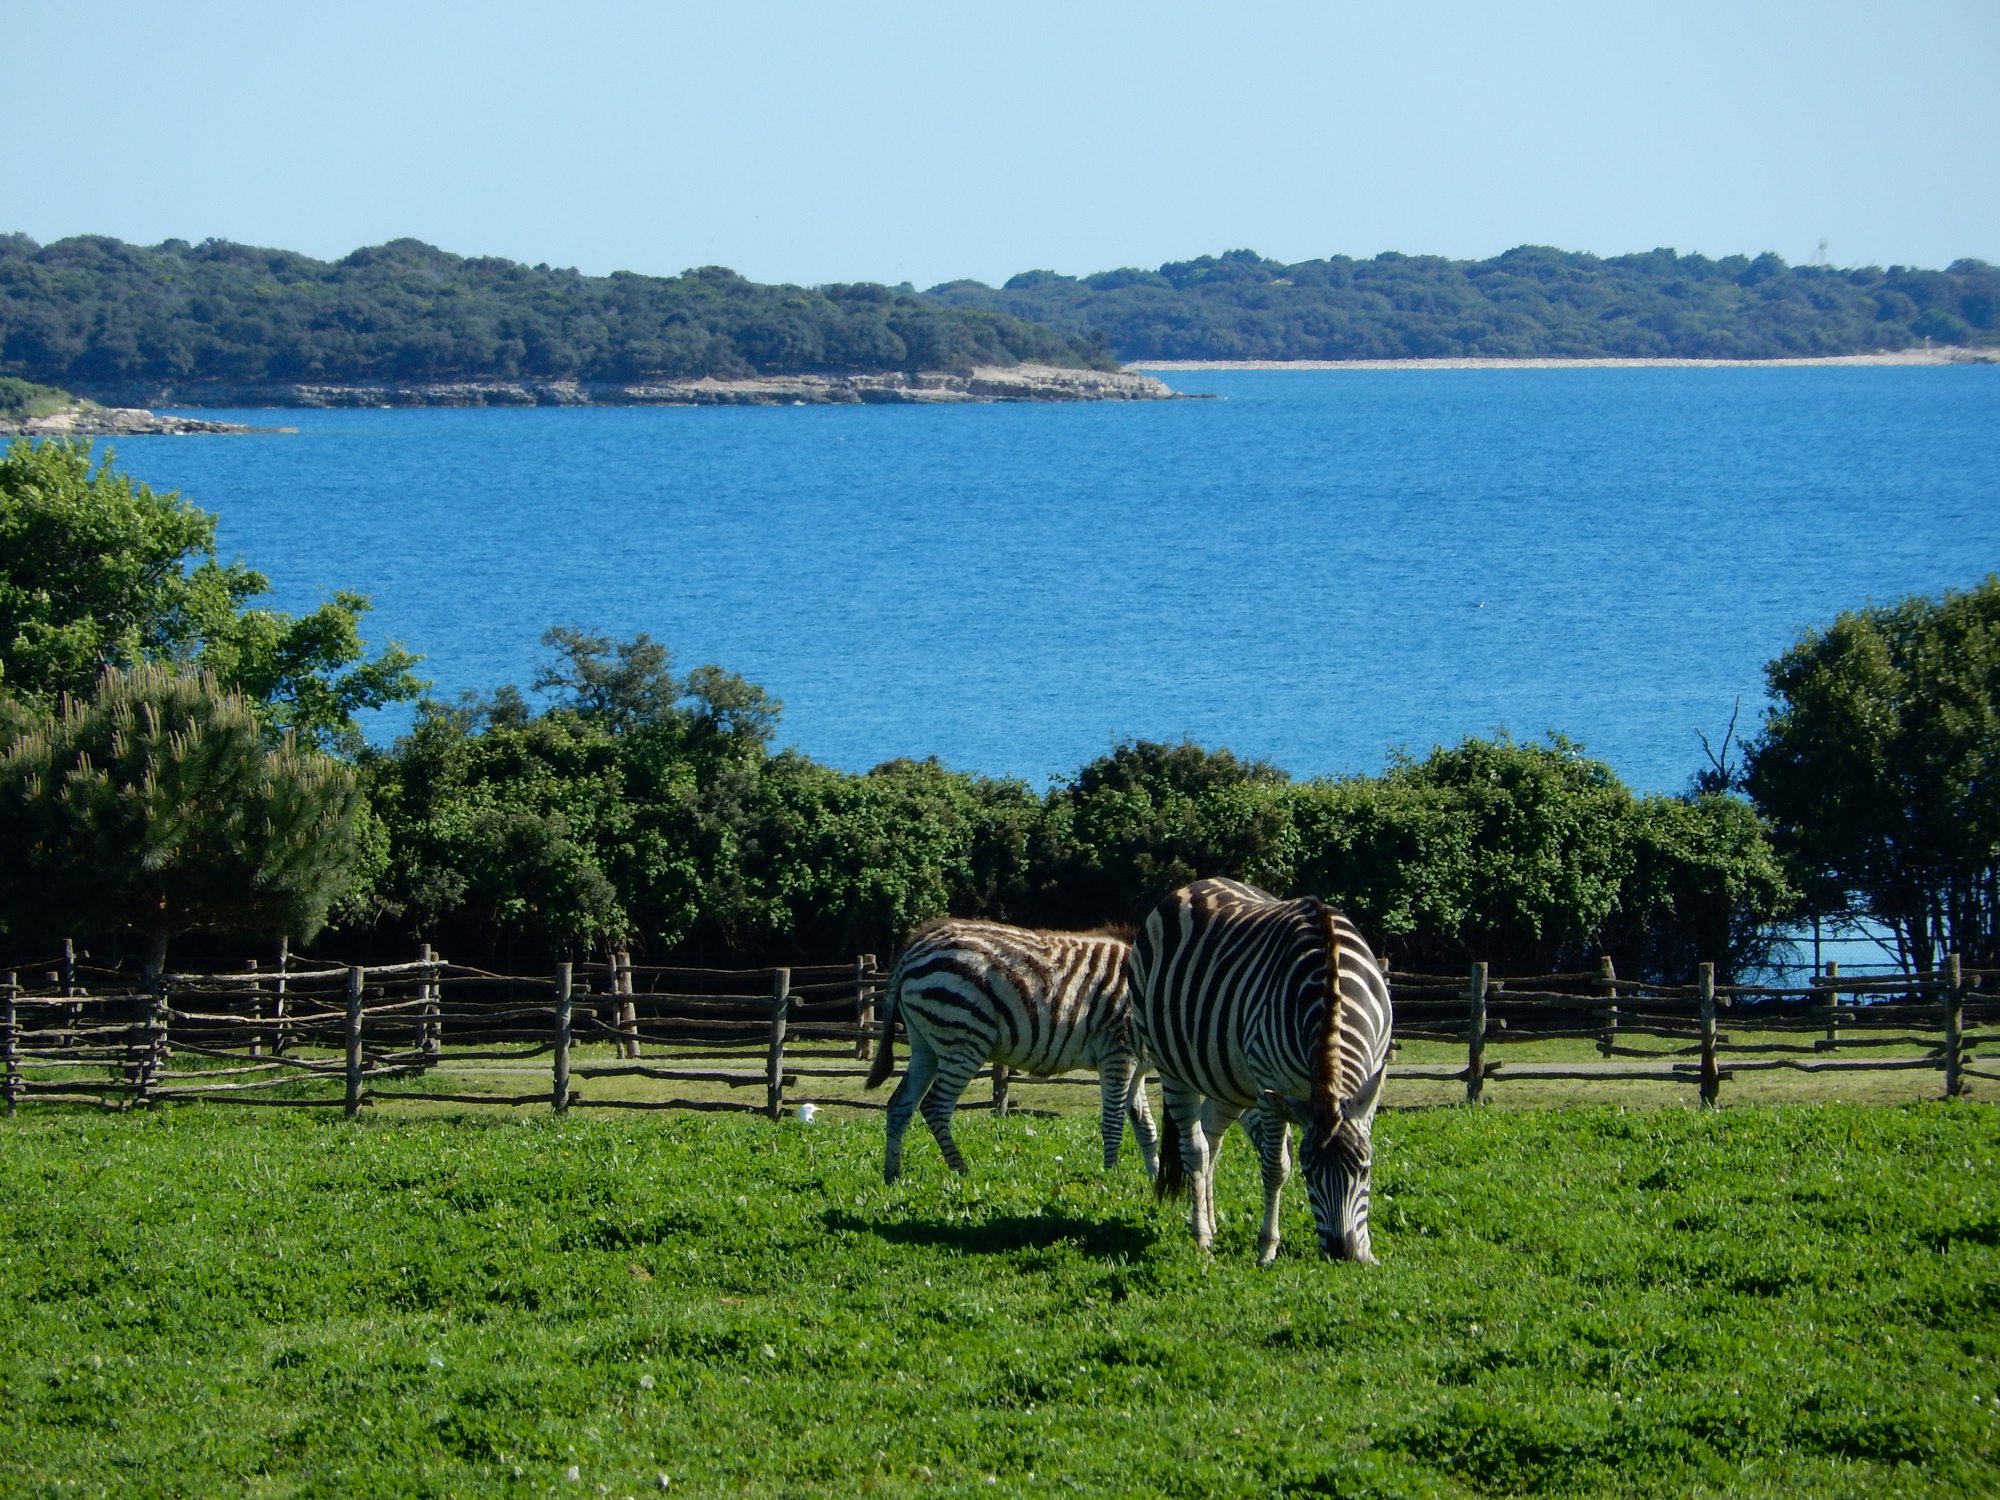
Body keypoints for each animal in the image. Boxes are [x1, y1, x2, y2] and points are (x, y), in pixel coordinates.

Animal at [860, 916, 1160, 1184]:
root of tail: (918, 944)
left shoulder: (1136, 1069)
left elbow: (1146, 1128)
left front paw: (1156, 1183)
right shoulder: (1117, 1055)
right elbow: (1113, 1123)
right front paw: (1110, 1179)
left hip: (925, 1046)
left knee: (900, 1105)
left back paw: (892, 1176)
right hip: (963, 1039)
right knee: (935, 1106)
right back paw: (962, 1172)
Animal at [1136, 876, 1400, 1264]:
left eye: (1364, 1169)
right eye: (1309, 1174)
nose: (1342, 1252)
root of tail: (1194, 884)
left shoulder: (1370, 1074)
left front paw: (1368, 1249)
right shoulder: (1271, 1085)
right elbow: (1276, 1168)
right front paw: (1267, 1247)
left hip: (1228, 1077)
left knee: (1211, 1138)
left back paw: (1212, 1225)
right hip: (1172, 1067)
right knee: (1195, 1149)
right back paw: (1202, 1238)